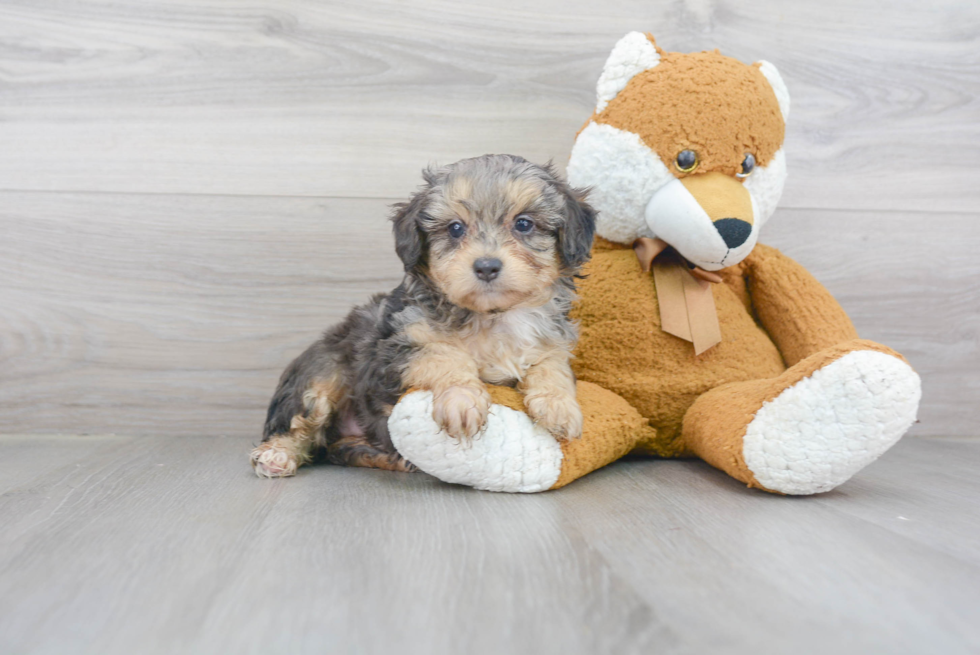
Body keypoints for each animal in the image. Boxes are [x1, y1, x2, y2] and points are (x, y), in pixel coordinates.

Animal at [249, 156, 592, 480]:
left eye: (523, 224)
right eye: (455, 228)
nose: (486, 266)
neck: (493, 317)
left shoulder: (551, 345)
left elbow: (552, 367)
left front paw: (558, 405)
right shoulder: (399, 346)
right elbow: (445, 354)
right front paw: (461, 400)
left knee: (341, 448)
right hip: (322, 373)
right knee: (300, 420)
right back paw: (277, 455)